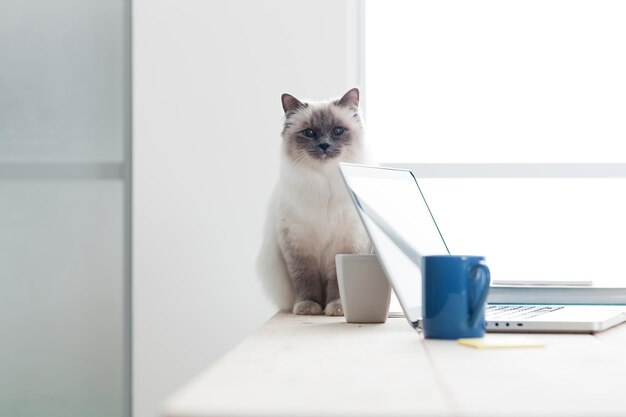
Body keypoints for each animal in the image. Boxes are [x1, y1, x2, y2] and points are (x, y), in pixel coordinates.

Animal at [258, 88, 372, 316]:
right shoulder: (299, 246)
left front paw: (336, 307)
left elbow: (336, 283)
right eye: (309, 133)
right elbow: (305, 280)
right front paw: (309, 307)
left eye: (338, 131)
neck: (325, 182)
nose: (324, 145)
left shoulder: (345, 243)